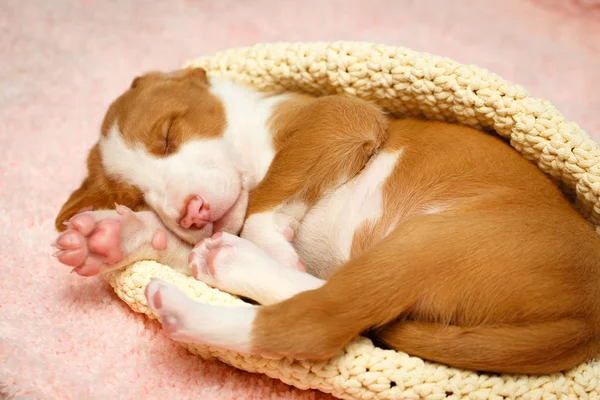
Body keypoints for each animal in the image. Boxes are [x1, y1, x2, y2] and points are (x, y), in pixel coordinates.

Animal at [51, 68, 600, 376]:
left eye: (168, 135)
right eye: (134, 196)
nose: (191, 211)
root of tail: (586, 322)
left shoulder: (339, 119)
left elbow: (265, 201)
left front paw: (266, 241)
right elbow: (190, 243)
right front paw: (110, 236)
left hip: (434, 240)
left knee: (319, 321)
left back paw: (210, 294)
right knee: (333, 305)